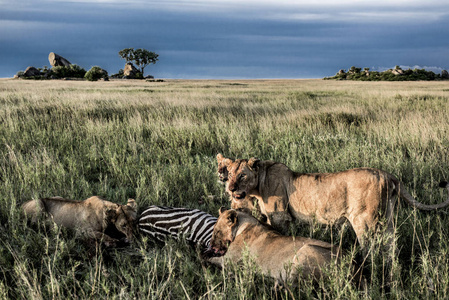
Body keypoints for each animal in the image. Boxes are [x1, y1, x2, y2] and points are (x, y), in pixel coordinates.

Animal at [205, 207, 338, 282]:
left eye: (217, 231)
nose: (211, 245)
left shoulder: (228, 260)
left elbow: (209, 259)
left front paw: (202, 256)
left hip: (306, 250)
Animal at [217, 154, 448, 250]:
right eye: (230, 174)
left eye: (242, 176)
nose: (230, 188)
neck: (259, 185)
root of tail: (389, 175)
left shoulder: (280, 217)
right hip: (387, 219)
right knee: (391, 246)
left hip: (365, 221)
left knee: (372, 248)